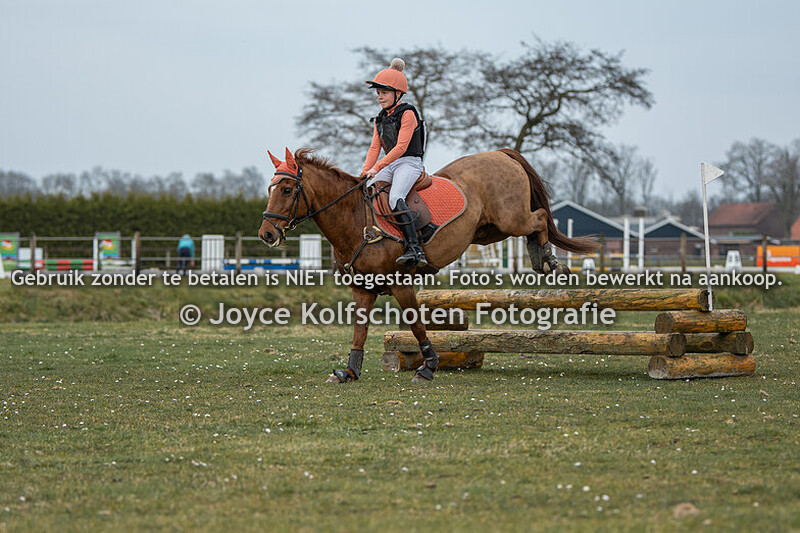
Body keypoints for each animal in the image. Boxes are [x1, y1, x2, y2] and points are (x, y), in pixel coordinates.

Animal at [258, 148, 597, 383]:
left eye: (287, 189)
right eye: (270, 189)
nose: (266, 234)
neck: (356, 221)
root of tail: (500, 153)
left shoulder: (401, 284)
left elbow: (416, 324)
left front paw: (428, 366)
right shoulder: (362, 288)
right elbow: (359, 330)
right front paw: (349, 371)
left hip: (509, 219)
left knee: (539, 217)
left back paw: (549, 260)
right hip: (490, 230)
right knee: (533, 224)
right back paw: (540, 257)